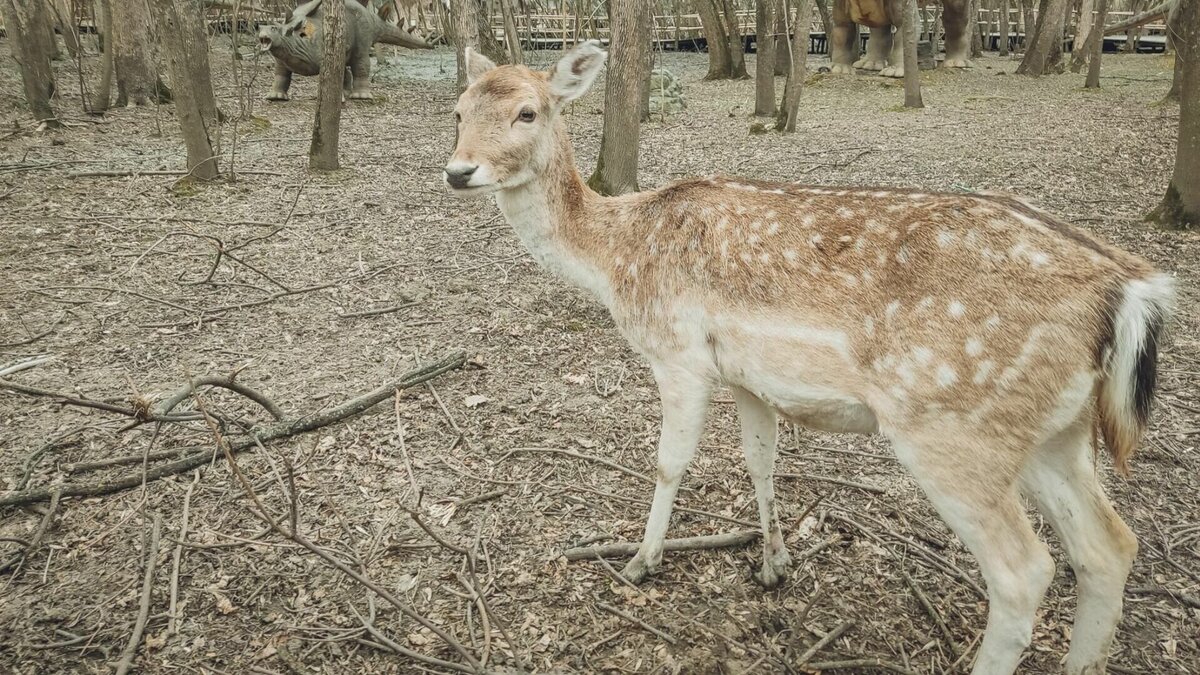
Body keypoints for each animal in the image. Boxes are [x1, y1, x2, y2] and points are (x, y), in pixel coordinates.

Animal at [441, 42, 1171, 672]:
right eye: (457, 110)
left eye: (528, 111)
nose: (458, 170)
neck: (617, 258)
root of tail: (1129, 289)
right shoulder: (746, 376)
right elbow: (761, 459)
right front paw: (773, 565)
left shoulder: (679, 353)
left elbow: (669, 462)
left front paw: (642, 562)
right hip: (1058, 431)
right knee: (1110, 546)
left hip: (956, 428)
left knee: (1025, 572)